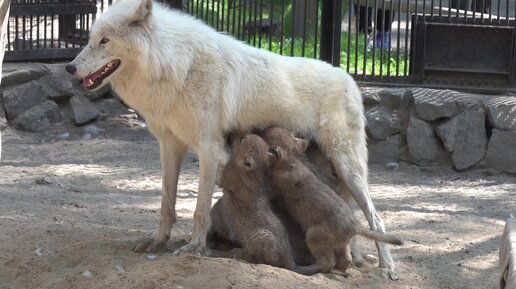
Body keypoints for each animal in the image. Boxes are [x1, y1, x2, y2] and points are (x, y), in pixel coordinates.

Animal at [65, 0, 400, 276]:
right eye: (90, 40)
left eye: (105, 41)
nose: (69, 67)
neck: (176, 65)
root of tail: (350, 79)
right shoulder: (169, 145)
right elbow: (166, 204)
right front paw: (157, 241)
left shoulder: (210, 150)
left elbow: (199, 210)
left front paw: (195, 248)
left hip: (349, 168)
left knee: (375, 217)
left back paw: (387, 268)